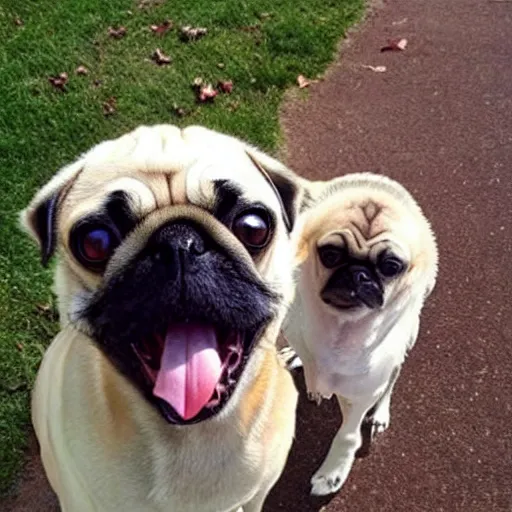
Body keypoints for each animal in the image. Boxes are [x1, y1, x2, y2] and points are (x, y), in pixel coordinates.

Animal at [282, 172, 438, 496]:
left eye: (391, 266)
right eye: (330, 255)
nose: (358, 273)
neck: (339, 326)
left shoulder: (362, 390)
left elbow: (348, 435)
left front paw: (333, 472)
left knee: (394, 376)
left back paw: (380, 413)